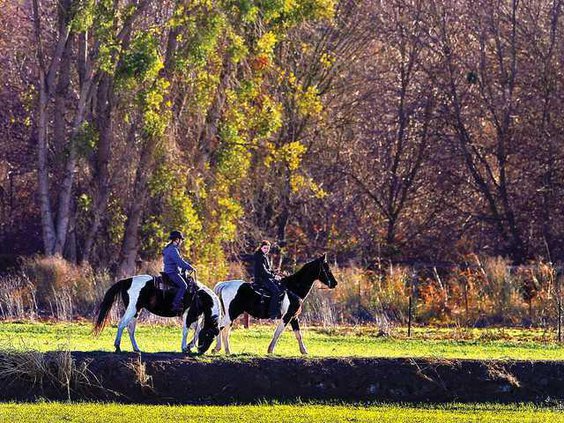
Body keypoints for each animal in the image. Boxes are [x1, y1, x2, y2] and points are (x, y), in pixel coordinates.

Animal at [93, 274, 221, 354]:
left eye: (213, 337)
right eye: (208, 335)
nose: (201, 351)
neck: (199, 296)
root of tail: (127, 281)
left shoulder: (196, 317)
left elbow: (197, 331)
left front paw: (190, 346)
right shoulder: (188, 315)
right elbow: (186, 331)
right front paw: (185, 348)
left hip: (136, 311)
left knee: (130, 329)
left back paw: (136, 348)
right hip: (132, 309)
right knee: (121, 324)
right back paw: (118, 347)